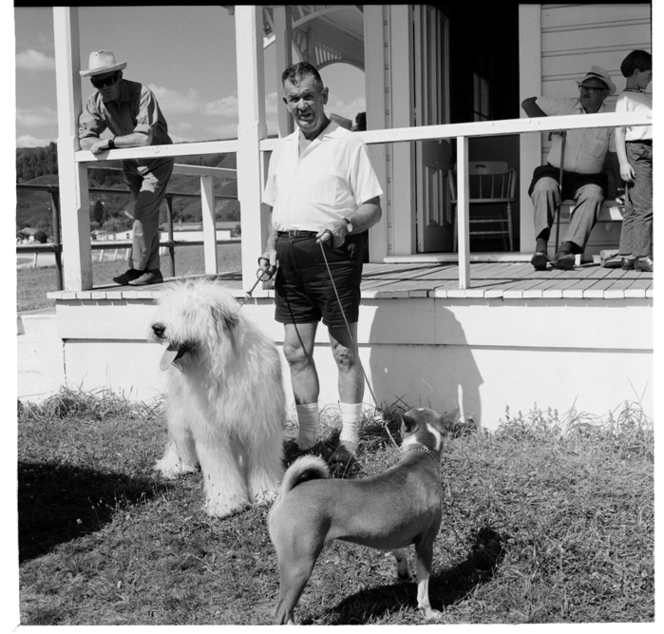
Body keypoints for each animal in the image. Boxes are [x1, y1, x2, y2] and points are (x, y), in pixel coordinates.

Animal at [149, 278, 284, 516]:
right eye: (168, 310)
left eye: (188, 313)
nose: (157, 328)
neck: (221, 367)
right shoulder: (212, 431)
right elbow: (219, 467)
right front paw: (226, 503)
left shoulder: (261, 426)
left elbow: (263, 461)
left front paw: (267, 494)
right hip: (180, 412)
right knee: (179, 438)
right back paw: (176, 466)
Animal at [268, 404, 454, 624]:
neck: (422, 454)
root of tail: (287, 493)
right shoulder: (425, 545)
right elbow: (423, 589)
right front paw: (429, 613)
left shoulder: (394, 532)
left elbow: (398, 550)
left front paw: (403, 572)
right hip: (299, 566)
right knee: (281, 611)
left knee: (288, 609)